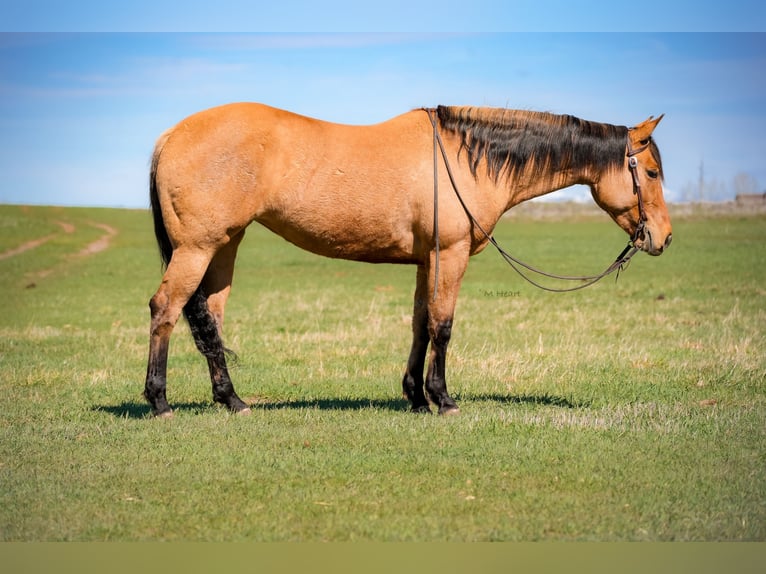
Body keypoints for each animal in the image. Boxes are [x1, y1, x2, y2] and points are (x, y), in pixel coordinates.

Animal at [144, 103, 671, 418]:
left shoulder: (426, 262)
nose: (663, 238)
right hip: (198, 248)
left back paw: (231, 400)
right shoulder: (450, 256)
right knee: (166, 310)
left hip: (225, 245)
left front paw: (416, 397)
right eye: (650, 171)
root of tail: (170, 134)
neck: (465, 157)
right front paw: (443, 398)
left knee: (210, 320)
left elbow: (420, 324)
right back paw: (159, 401)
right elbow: (443, 325)